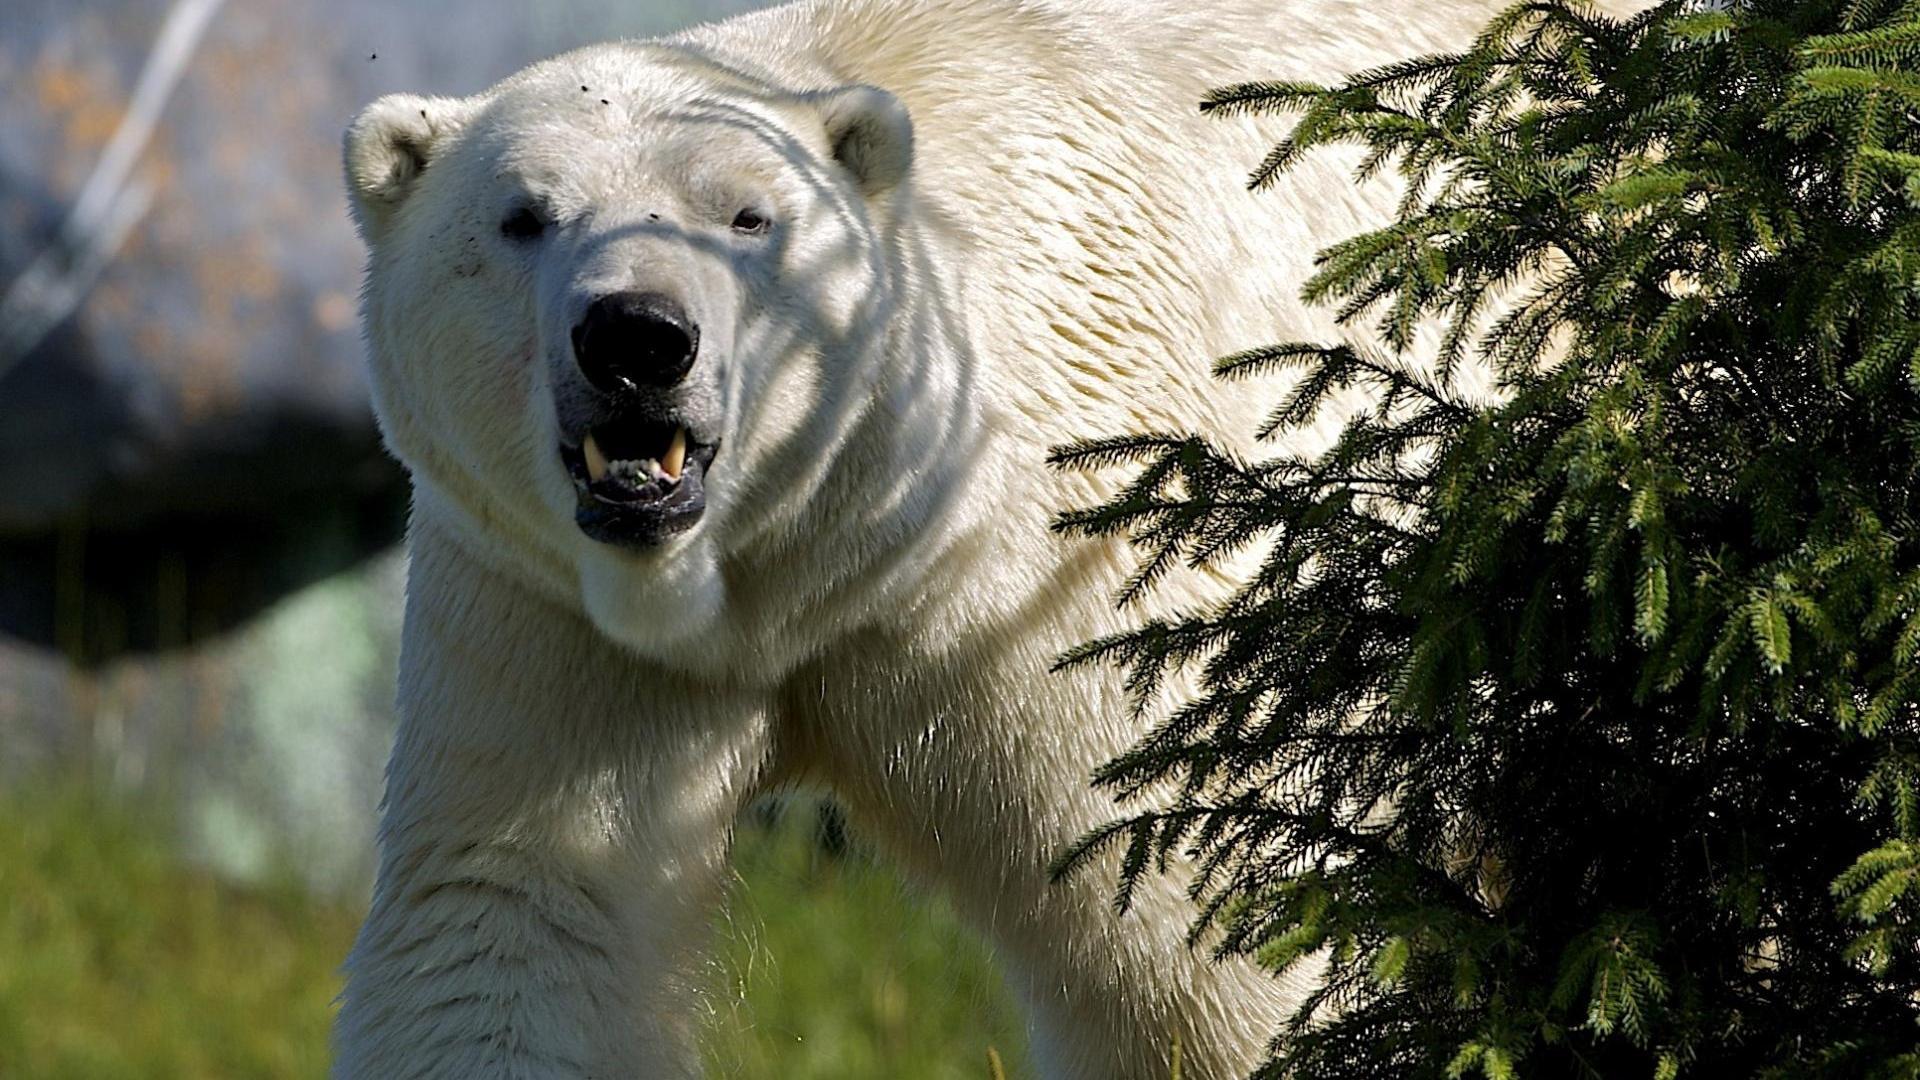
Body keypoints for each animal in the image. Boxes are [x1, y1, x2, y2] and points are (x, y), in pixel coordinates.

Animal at [335, 0, 1495, 1076]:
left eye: (748, 217)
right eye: (521, 217)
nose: (636, 337)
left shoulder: (1048, 572)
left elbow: (1200, 907)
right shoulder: (554, 610)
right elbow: (515, 920)